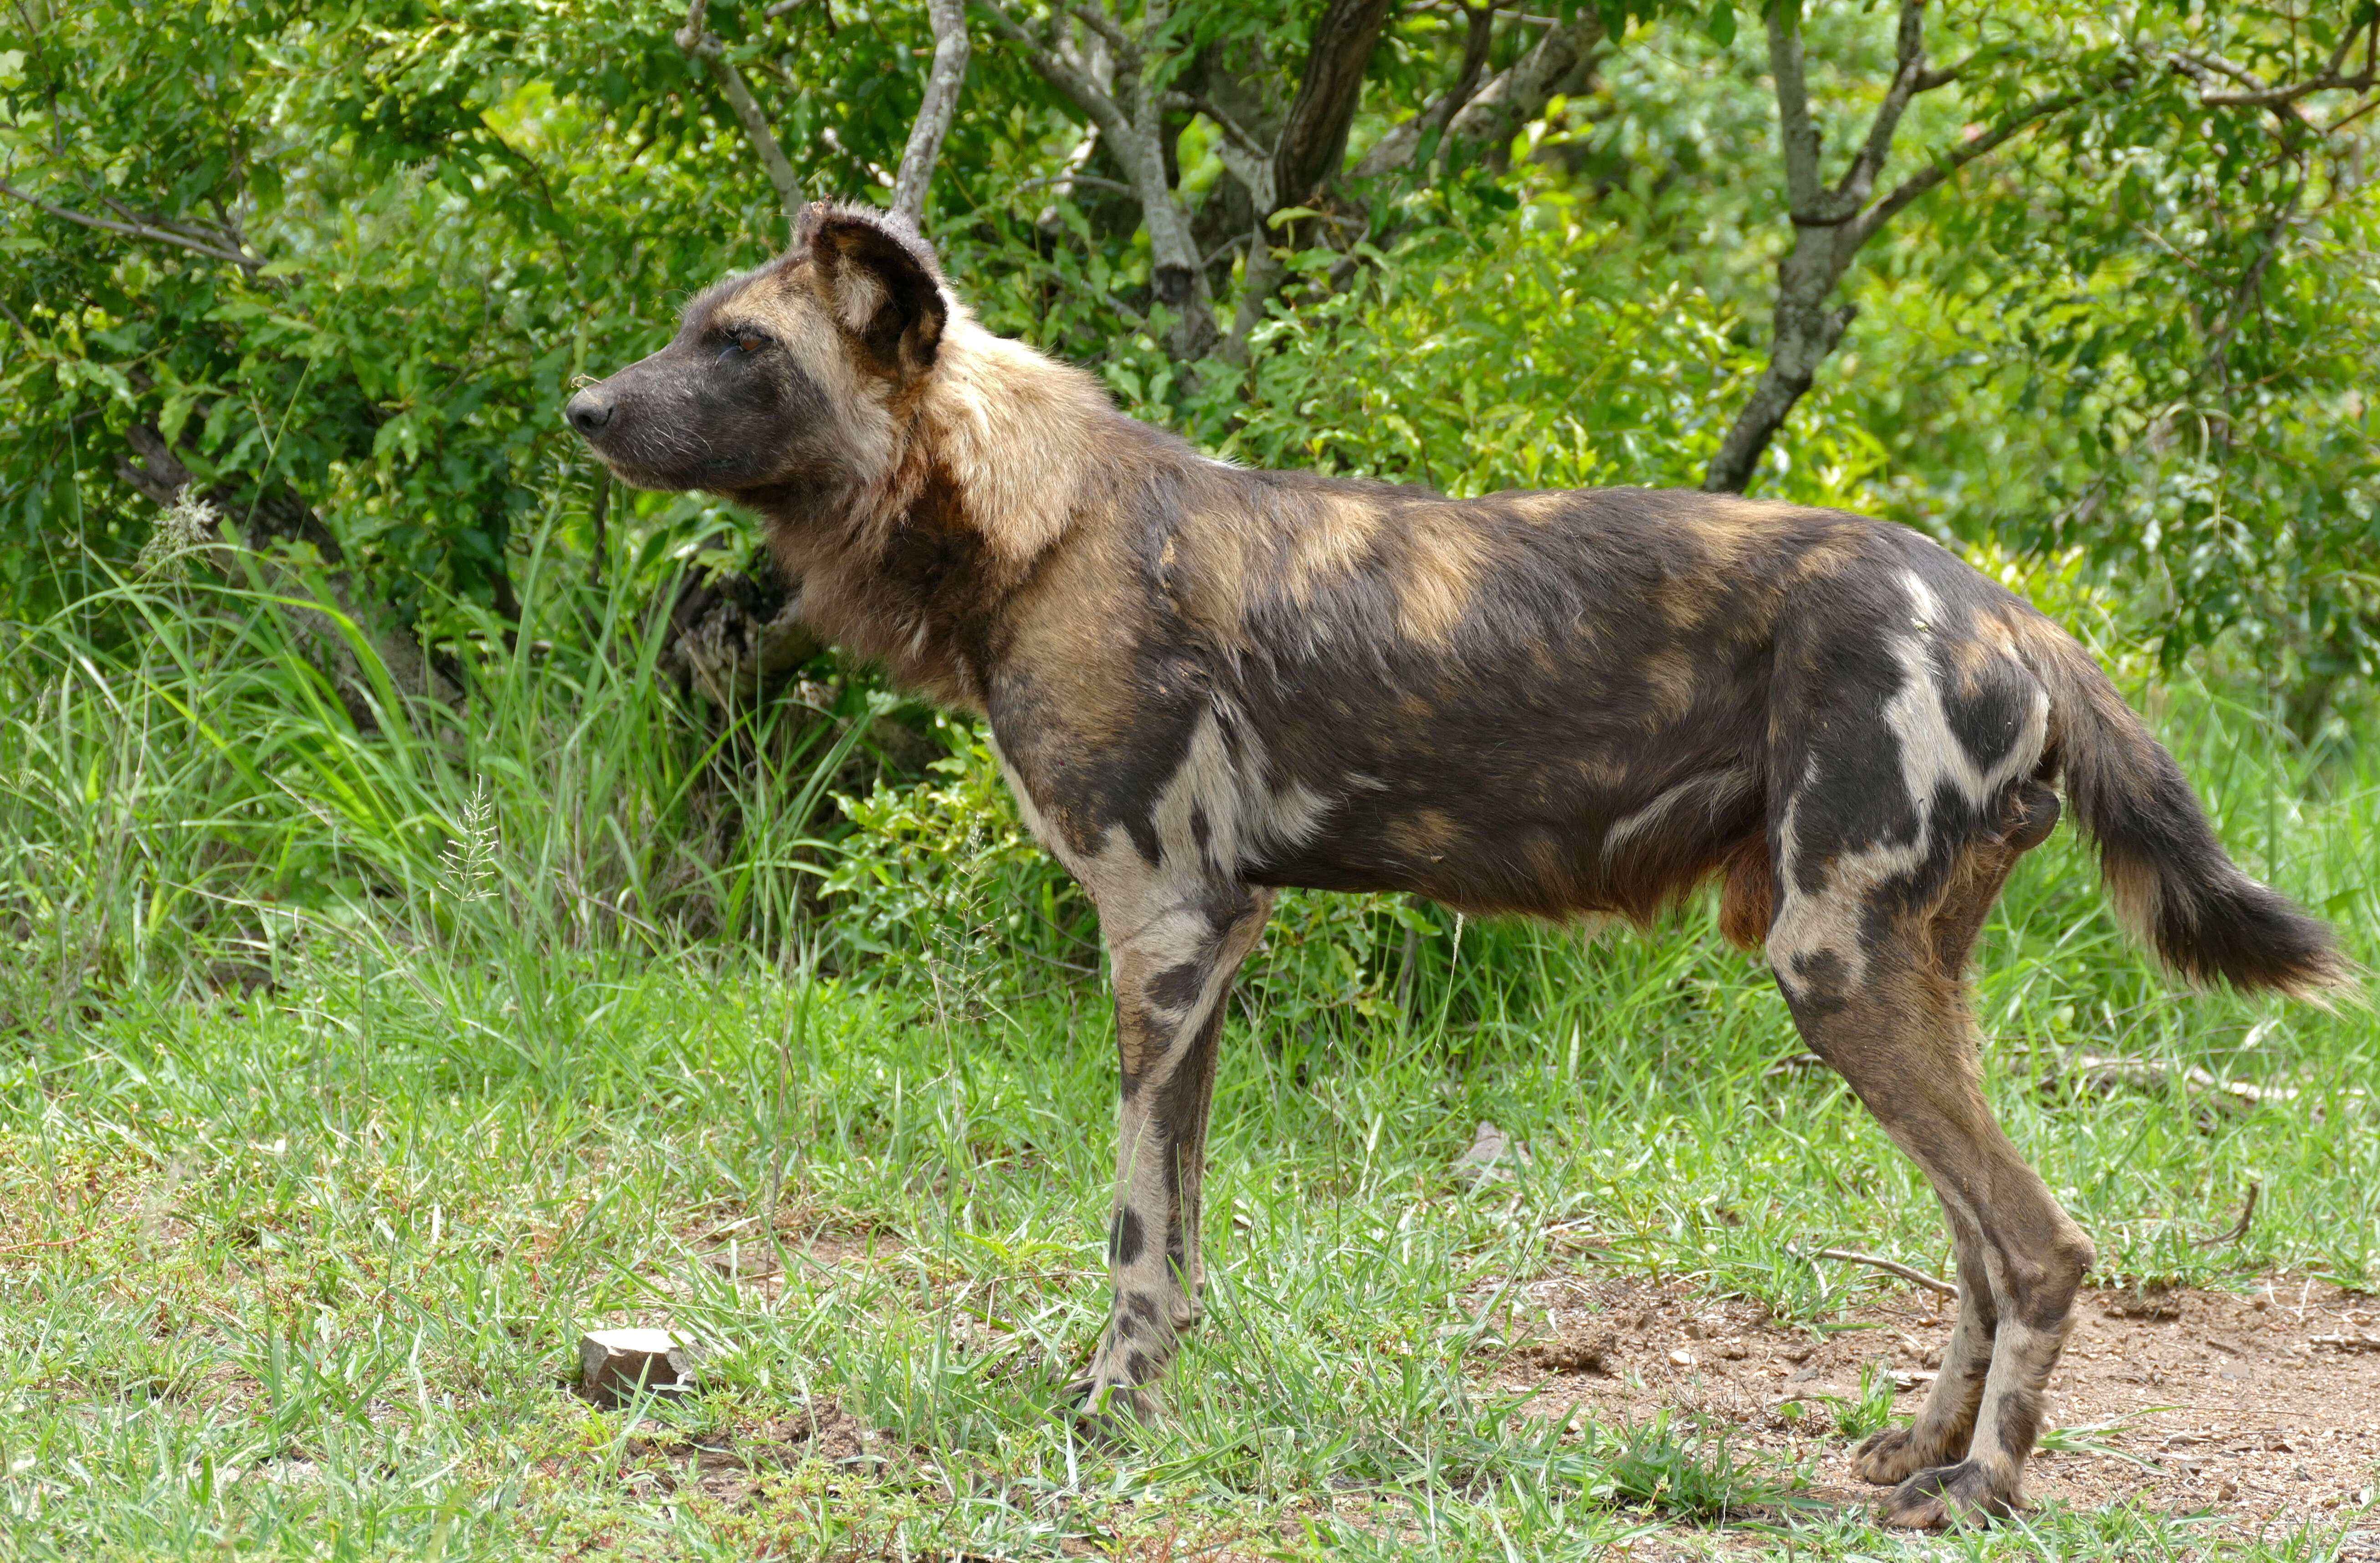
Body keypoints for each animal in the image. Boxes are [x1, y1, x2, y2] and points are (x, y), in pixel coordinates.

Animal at [566, 204, 2351, 1522]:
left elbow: (1134, 1231)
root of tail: (2008, 611)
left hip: (1833, 972)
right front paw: (1154, 1386)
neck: (1030, 522)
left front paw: (1107, 1406)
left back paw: (1980, 1494)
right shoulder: (1209, 947)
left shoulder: (1160, 927)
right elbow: (1180, 1227)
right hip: (1898, 975)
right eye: (693, 326)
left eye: (742, 347)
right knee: (1980, 1243)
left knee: (2039, 1244)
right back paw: (1918, 1453)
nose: (583, 410)